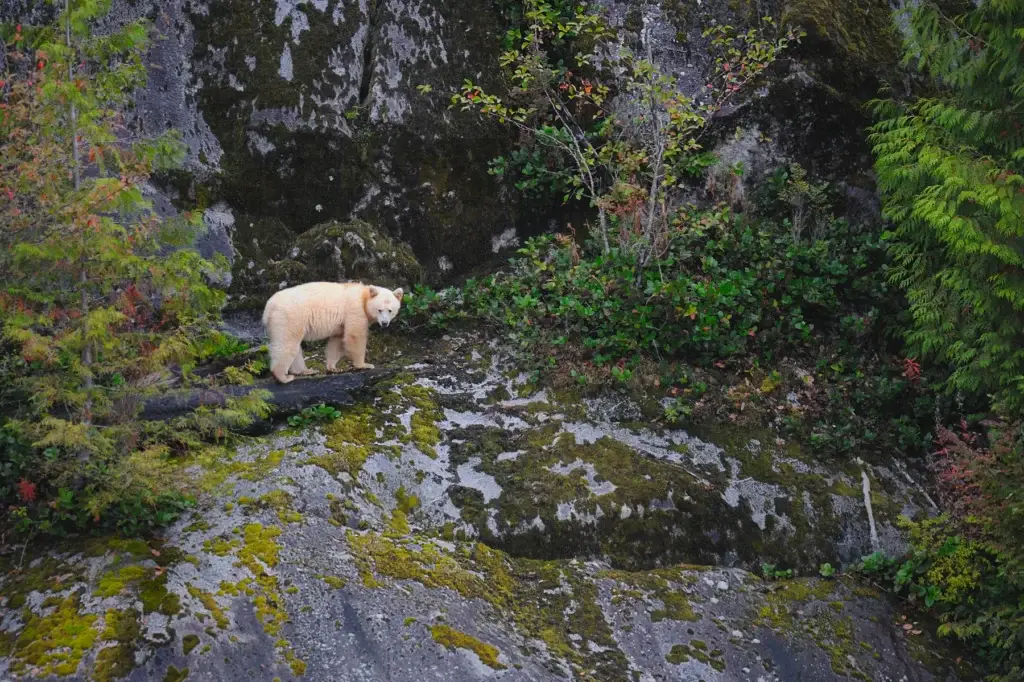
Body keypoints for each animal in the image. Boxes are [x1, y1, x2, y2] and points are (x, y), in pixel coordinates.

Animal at [261, 282, 403, 384]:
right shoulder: (355, 310)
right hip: (290, 317)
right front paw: (364, 365)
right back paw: (283, 376)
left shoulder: (341, 323)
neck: (363, 296)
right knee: (287, 343)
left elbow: (336, 341)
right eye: (379, 310)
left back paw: (306, 371)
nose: (384, 323)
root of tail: (269, 306)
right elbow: (354, 336)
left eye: (390, 310)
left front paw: (333, 367)